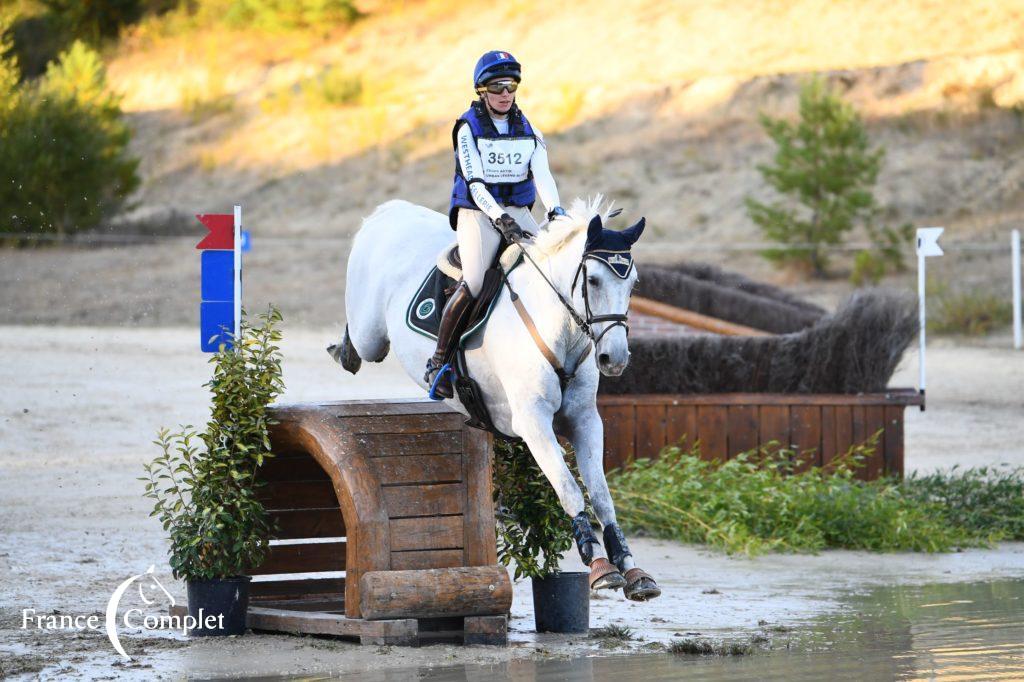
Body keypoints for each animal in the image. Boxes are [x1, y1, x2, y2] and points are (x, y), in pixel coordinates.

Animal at [331, 193, 659, 598]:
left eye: (633, 285)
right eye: (594, 280)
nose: (614, 359)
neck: (559, 330)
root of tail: (389, 210)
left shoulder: (584, 420)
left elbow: (601, 496)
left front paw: (630, 568)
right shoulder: (532, 422)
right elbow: (569, 488)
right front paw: (598, 564)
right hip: (371, 333)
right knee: (360, 341)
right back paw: (344, 350)